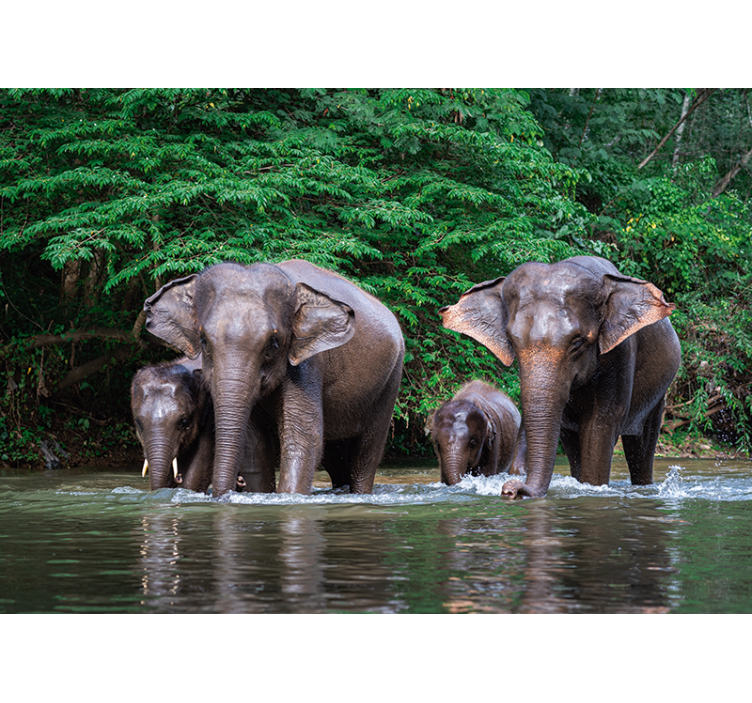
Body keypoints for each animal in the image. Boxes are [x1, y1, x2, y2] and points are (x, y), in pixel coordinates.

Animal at [143, 259, 405, 497]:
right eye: (204, 341)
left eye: (273, 344)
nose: (225, 493)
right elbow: (254, 448)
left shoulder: (307, 364)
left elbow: (303, 439)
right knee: (336, 458)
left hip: (391, 380)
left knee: (365, 454)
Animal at [440, 256, 681, 499]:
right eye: (512, 341)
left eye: (577, 342)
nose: (510, 489)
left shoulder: (620, 353)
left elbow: (601, 423)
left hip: (658, 394)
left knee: (641, 445)